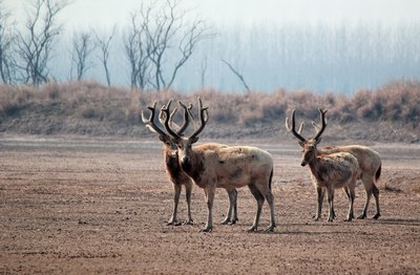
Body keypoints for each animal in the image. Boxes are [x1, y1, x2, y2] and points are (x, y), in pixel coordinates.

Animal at [162, 98, 278, 233]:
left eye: (190, 145)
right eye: (179, 145)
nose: (185, 159)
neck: (198, 164)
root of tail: (271, 161)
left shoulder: (212, 181)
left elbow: (209, 203)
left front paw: (208, 227)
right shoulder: (206, 185)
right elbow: (207, 201)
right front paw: (208, 225)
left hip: (262, 179)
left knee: (270, 197)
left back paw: (271, 226)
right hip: (252, 183)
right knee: (260, 199)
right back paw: (253, 226)